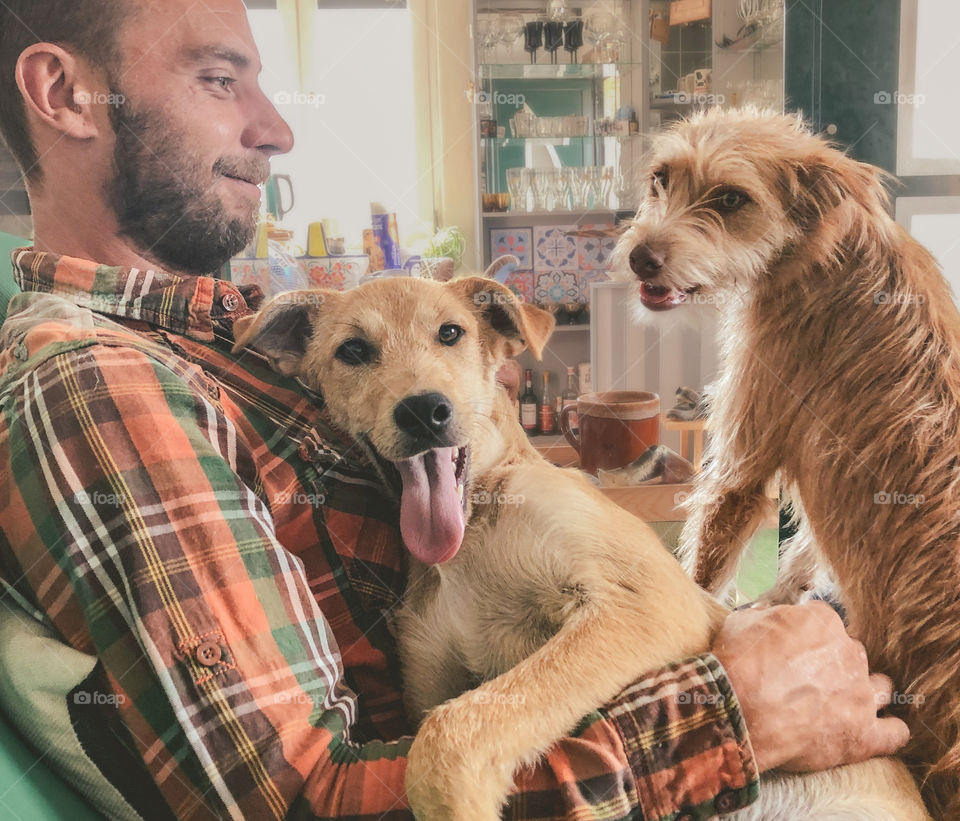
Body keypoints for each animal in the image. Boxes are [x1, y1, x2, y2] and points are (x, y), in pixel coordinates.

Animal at [234, 276, 928, 820]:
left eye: (451, 333)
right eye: (353, 350)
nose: (424, 411)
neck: (473, 537)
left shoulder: (644, 601)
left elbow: (454, 729)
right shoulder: (430, 678)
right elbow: (456, 714)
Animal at [616, 105, 960, 816]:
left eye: (730, 199)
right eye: (662, 179)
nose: (639, 256)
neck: (822, 248)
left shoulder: (745, 454)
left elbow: (709, 562)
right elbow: (802, 553)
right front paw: (776, 601)